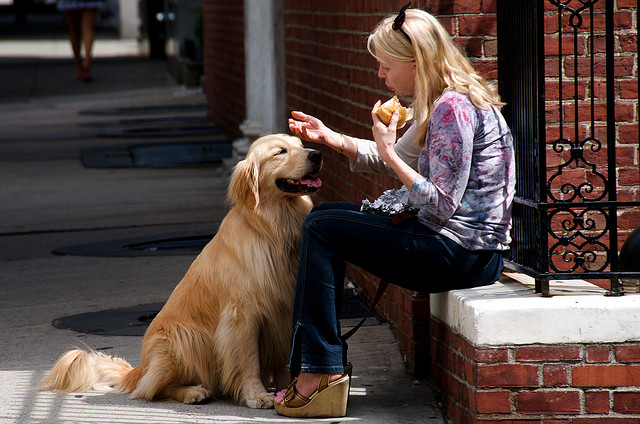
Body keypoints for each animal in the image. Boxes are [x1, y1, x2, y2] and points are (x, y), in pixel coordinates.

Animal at [37, 134, 322, 410]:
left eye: (300, 144)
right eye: (280, 152)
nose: (317, 154)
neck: (273, 227)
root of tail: (140, 369)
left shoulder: (286, 308)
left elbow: (287, 357)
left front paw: (287, 391)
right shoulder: (242, 316)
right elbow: (249, 360)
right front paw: (257, 395)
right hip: (185, 337)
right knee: (152, 390)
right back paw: (193, 392)